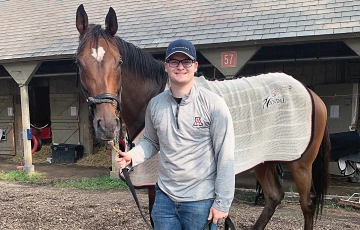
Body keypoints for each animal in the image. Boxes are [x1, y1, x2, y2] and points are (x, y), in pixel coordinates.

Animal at [74, 4, 330, 230]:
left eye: (119, 62)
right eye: (79, 62)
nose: (107, 126)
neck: (158, 95)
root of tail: (310, 93)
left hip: (300, 164)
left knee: (306, 203)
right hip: (264, 159)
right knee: (274, 196)